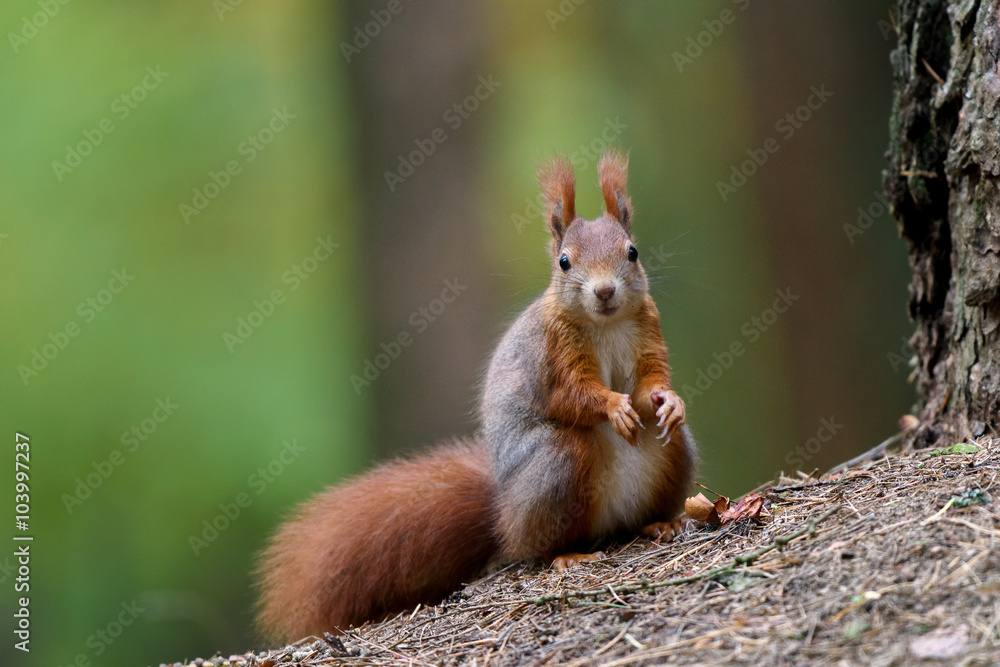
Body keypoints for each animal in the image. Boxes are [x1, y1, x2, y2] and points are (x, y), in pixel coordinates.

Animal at [256, 149, 696, 640]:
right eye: (564, 262)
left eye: (632, 252)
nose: (604, 291)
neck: (606, 323)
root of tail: (501, 513)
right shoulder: (553, 354)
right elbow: (571, 396)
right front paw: (614, 406)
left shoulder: (647, 333)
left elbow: (652, 380)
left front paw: (670, 402)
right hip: (557, 465)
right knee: (537, 540)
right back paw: (567, 554)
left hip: (673, 454)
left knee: (650, 480)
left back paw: (662, 523)